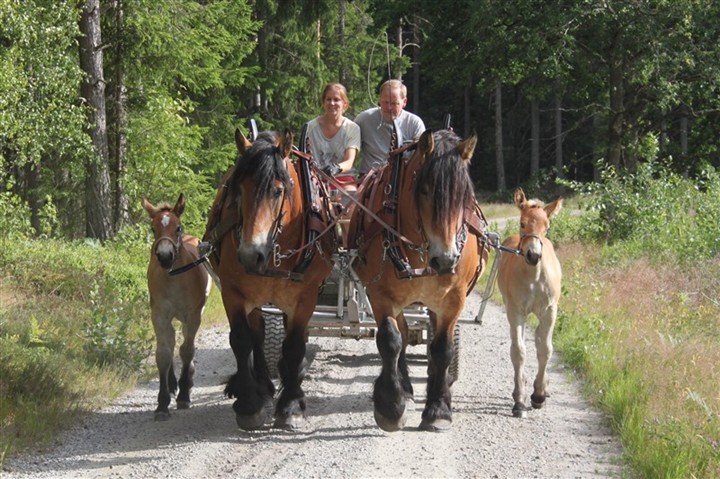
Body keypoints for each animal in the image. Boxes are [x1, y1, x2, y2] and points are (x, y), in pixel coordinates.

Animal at [142, 193, 211, 422]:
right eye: (153, 228)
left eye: (178, 227)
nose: (165, 256)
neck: (174, 278)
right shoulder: (159, 315)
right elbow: (163, 353)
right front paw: (162, 404)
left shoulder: (193, 315)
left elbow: (187, 350)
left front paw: (184, 395)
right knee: (172, 339)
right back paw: (172, 383)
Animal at [204, 127, 336, 432]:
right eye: (238, 190)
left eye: (278, 191)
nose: (250, 255)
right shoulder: (233, 291)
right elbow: (242, 340)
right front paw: (249, 404)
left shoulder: (305, 296)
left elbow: (295, 344)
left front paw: (290, 404)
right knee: (258, 334)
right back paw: (262, 385)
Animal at [348, 129, 490, 434]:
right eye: (424, 190)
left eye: (465, 196)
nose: (446, 259)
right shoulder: (381, 296)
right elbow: (390, 341)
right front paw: (391, 405)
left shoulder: (453, 299)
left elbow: (443, 348)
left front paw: (438, 409)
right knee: (401, 334)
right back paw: (404, 386)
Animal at [498, 188, 564, 420]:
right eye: (522, 223)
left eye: (547, 227)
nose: (533, 255)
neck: (534, 277)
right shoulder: (516, 311)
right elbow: (518, 352)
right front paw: (520, 400)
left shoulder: (550, 312)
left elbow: (545, 349)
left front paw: (539, 395)